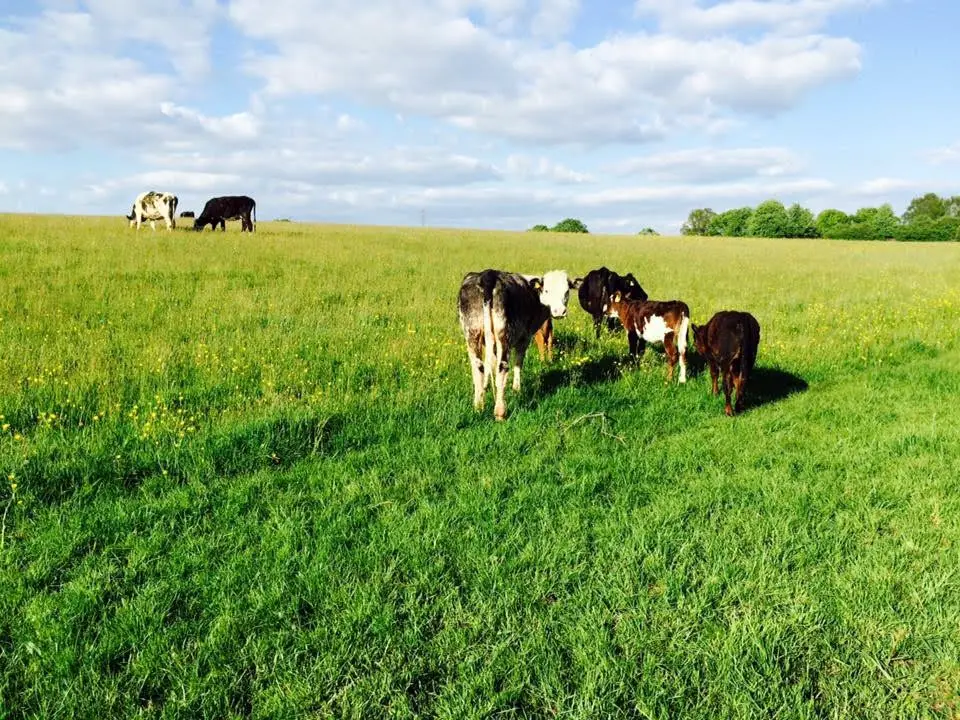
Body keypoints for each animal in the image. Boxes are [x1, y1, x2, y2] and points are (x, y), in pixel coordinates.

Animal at [460, 270, 572, 420]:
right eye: (547, 290)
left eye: (567, 291)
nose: (559, 311)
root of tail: (487, 275)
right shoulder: (524, 338)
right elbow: (518, 362)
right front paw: (516, 389)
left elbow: (489, 363)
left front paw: (485, 386)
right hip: (503, 335)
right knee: (502, 367)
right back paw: (500, 413)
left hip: (471, 333)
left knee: (478, 367)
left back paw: (478, 407)